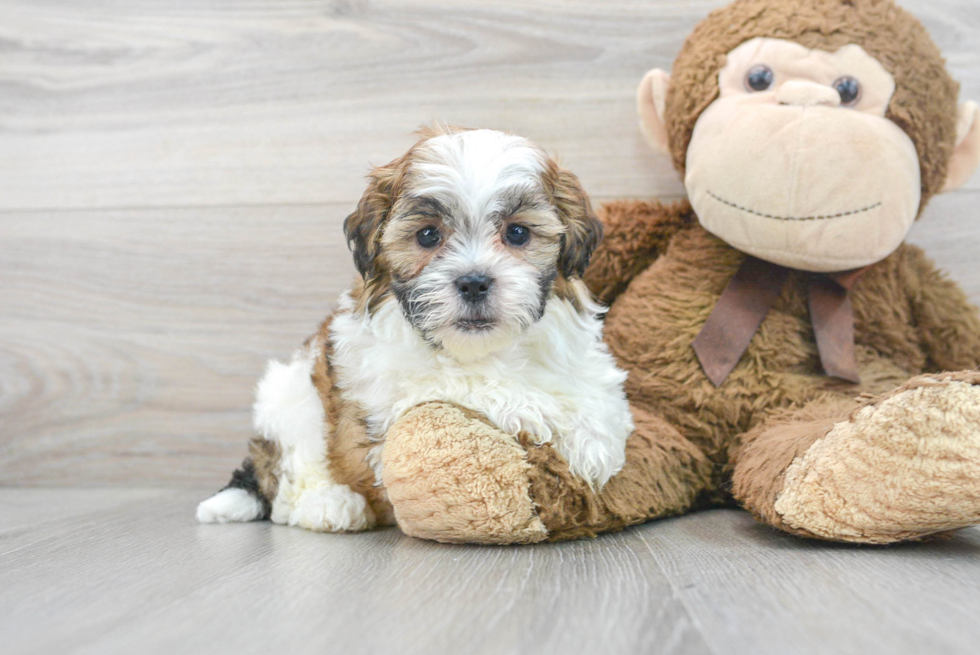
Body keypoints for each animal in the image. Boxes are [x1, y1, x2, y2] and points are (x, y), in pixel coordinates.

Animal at [197, 127, 636, 532]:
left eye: (518, 233)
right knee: (290, 482)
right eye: (428, 235)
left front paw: (596, 439)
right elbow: (465, 384)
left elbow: (599, 392)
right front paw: (537, 411)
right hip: (292, 397)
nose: (474, 282)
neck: (485, 349)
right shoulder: (393, 388)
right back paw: (331, 504)